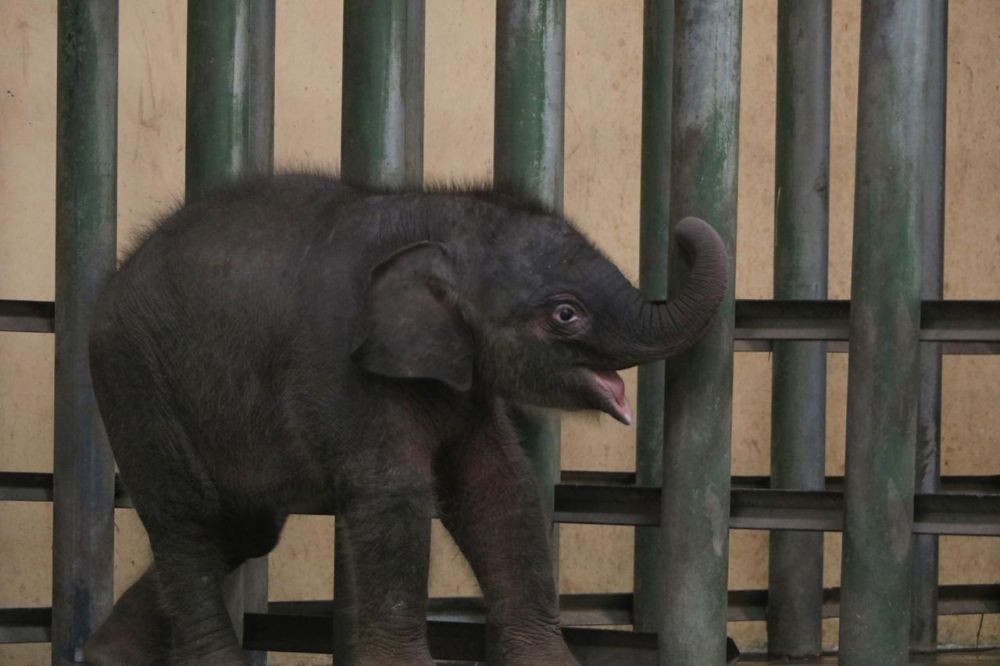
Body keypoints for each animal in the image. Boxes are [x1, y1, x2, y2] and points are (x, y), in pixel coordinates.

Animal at [84, 172, 728, 664]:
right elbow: (393, 496)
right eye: (565, 315)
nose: (684, 230)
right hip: (134, 379)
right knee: (187, 521)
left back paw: (108, 655)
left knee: (244, 527)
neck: (424, 216)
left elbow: (499, 488)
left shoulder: (462, 379)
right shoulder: (342, 369)